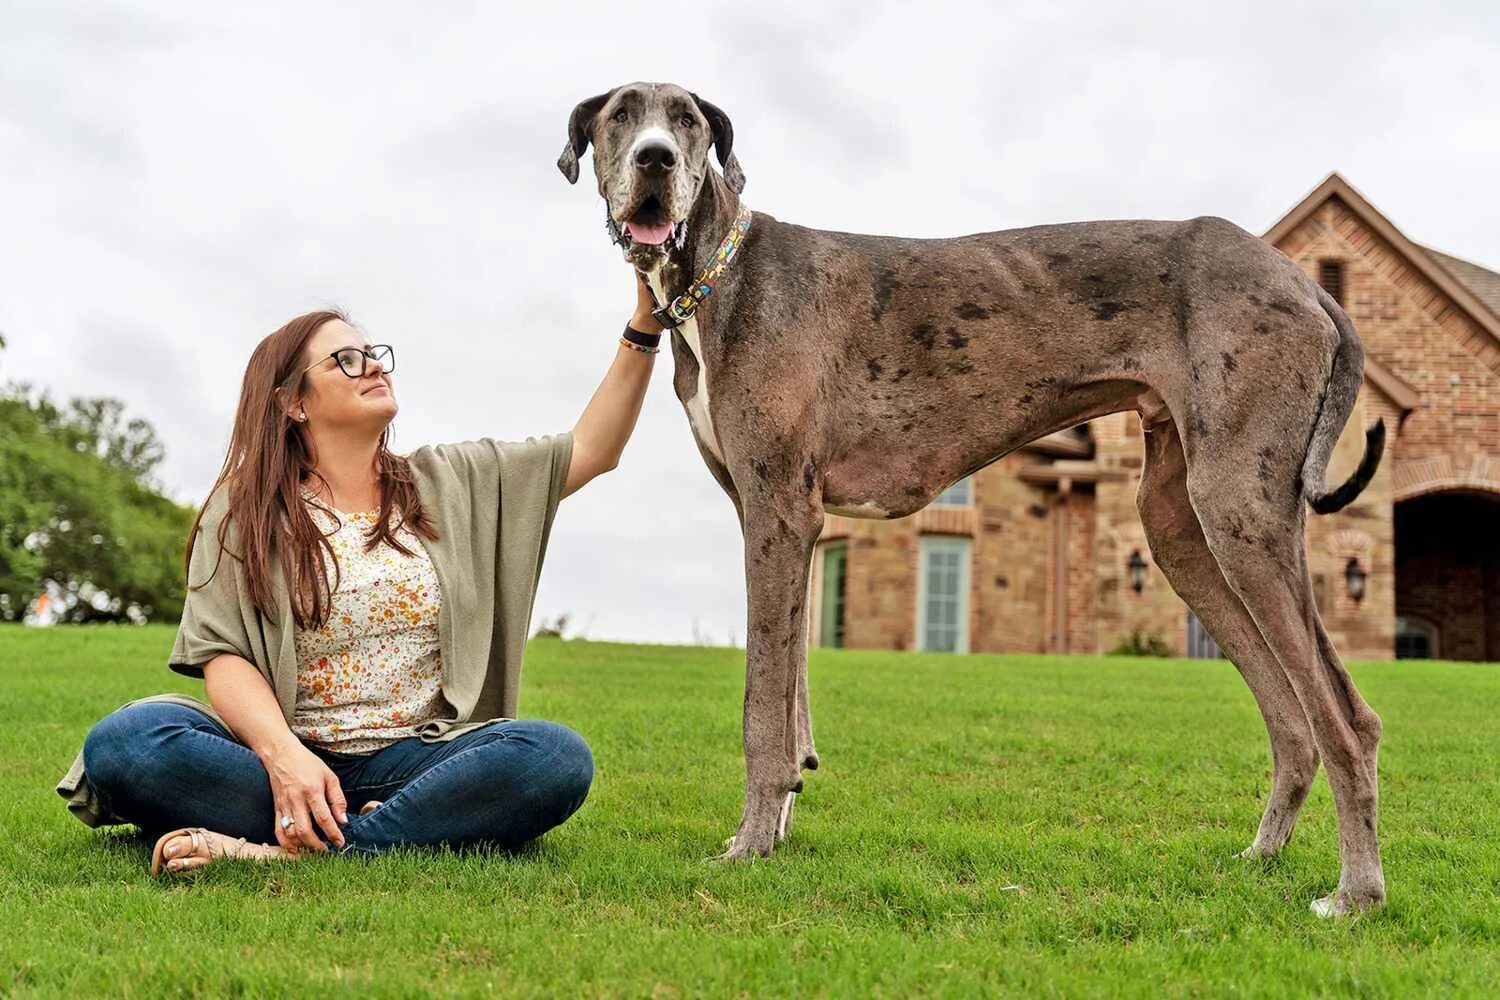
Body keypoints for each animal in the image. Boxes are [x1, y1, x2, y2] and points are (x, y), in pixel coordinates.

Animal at [558, 83, 1386, 917]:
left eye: (687, 120)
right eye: (621, 116)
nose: (655, 159)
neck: (719, 274)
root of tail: (1308, 284)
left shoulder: (778, 511)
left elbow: (763, 706)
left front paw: (749, 846)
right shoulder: (783, 523)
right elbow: (791, 698)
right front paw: (778, 827)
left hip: (1239, 509)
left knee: (1347, 718)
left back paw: (1355, 893)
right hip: (1181, 529)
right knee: (1294, 719)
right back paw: (1262, 855)